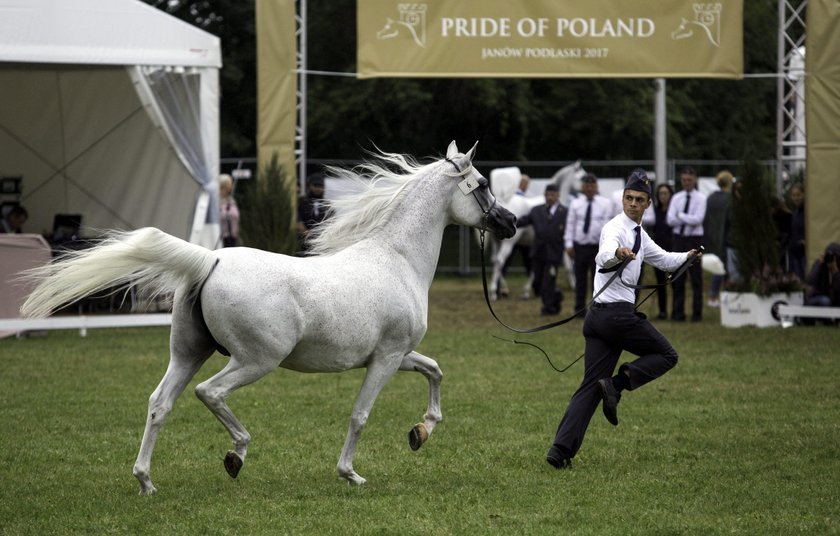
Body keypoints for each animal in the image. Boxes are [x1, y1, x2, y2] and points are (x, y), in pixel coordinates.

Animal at [23, 139, 516, 494]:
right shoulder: (387, 357)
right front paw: (351, 474)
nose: (509, 222)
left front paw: (421, 431)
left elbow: (435, 370)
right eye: (481, 185)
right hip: (255, 360)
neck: (396, 259)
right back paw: (235, 454)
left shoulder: (399, 354)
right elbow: (360, 415)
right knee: (209, 392)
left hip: (188, 353)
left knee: (159, 403)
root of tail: (211, 260)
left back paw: (147, 481)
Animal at [488, 161, 588, 300]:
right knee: (500, 261)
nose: (589, 190)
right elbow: (567, 265)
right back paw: (494, 292)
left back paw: (502, 289)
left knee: (495, 261)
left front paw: (528, 291)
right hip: (508, 243)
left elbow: (534, 267)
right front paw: (574, 286)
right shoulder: (560, 244)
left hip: (496, 242)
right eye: (583, 177)